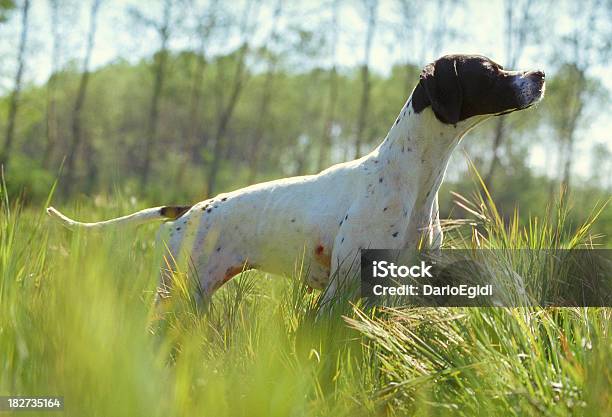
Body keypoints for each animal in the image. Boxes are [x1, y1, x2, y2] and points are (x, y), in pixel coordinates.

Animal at [47, 52, 544, 306]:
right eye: (492, 70)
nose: (540, 74)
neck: (413, 178)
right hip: (177, 294)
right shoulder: (344, 291)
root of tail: (188, 209)